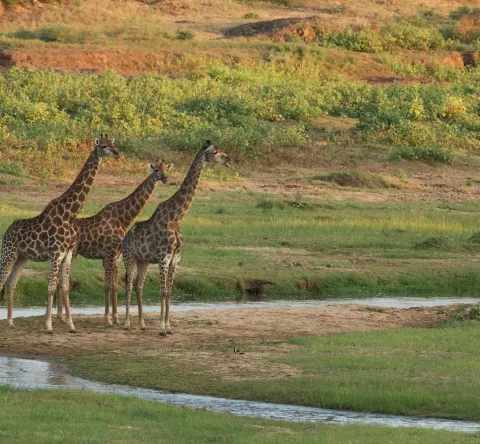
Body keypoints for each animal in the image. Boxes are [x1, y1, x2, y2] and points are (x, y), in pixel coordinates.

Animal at [0, 135, 119, 332]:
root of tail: (7, 231)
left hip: (22, 257)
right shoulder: (55, 253)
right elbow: (50, 288)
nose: (117, 154)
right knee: (2, 280)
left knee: (11, 282)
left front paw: (71, 325)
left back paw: (10, 322)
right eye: (103, 146)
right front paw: (48, 325)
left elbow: (64, 287)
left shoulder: (67, 254)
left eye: (113, 144)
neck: (70, 214)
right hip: (8, 253)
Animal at [56, 160, 172, 326]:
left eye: (166, 169)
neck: (123, 218)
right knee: (60, 280)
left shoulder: (116, 255)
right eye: (156, 170)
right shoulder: (109, 254)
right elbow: (106, 286)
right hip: (71, 253)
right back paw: (61, 317)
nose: (165, 178)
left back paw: (60, 316)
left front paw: (116, 318)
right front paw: (108, 319)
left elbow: (115, 286)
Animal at [122, 140, 231, 334]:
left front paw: (169, 326)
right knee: (128, 286)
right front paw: (162, 328)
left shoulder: (175, 258)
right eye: (215, 152)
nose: (229, 159)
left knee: (138, 286)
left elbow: (170, 292)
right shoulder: (163, 257)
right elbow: (163, 291)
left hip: (143, 261)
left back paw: (142, 324)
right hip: (129, 257)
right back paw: (126, 324)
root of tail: (124, 238)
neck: (176, 218)